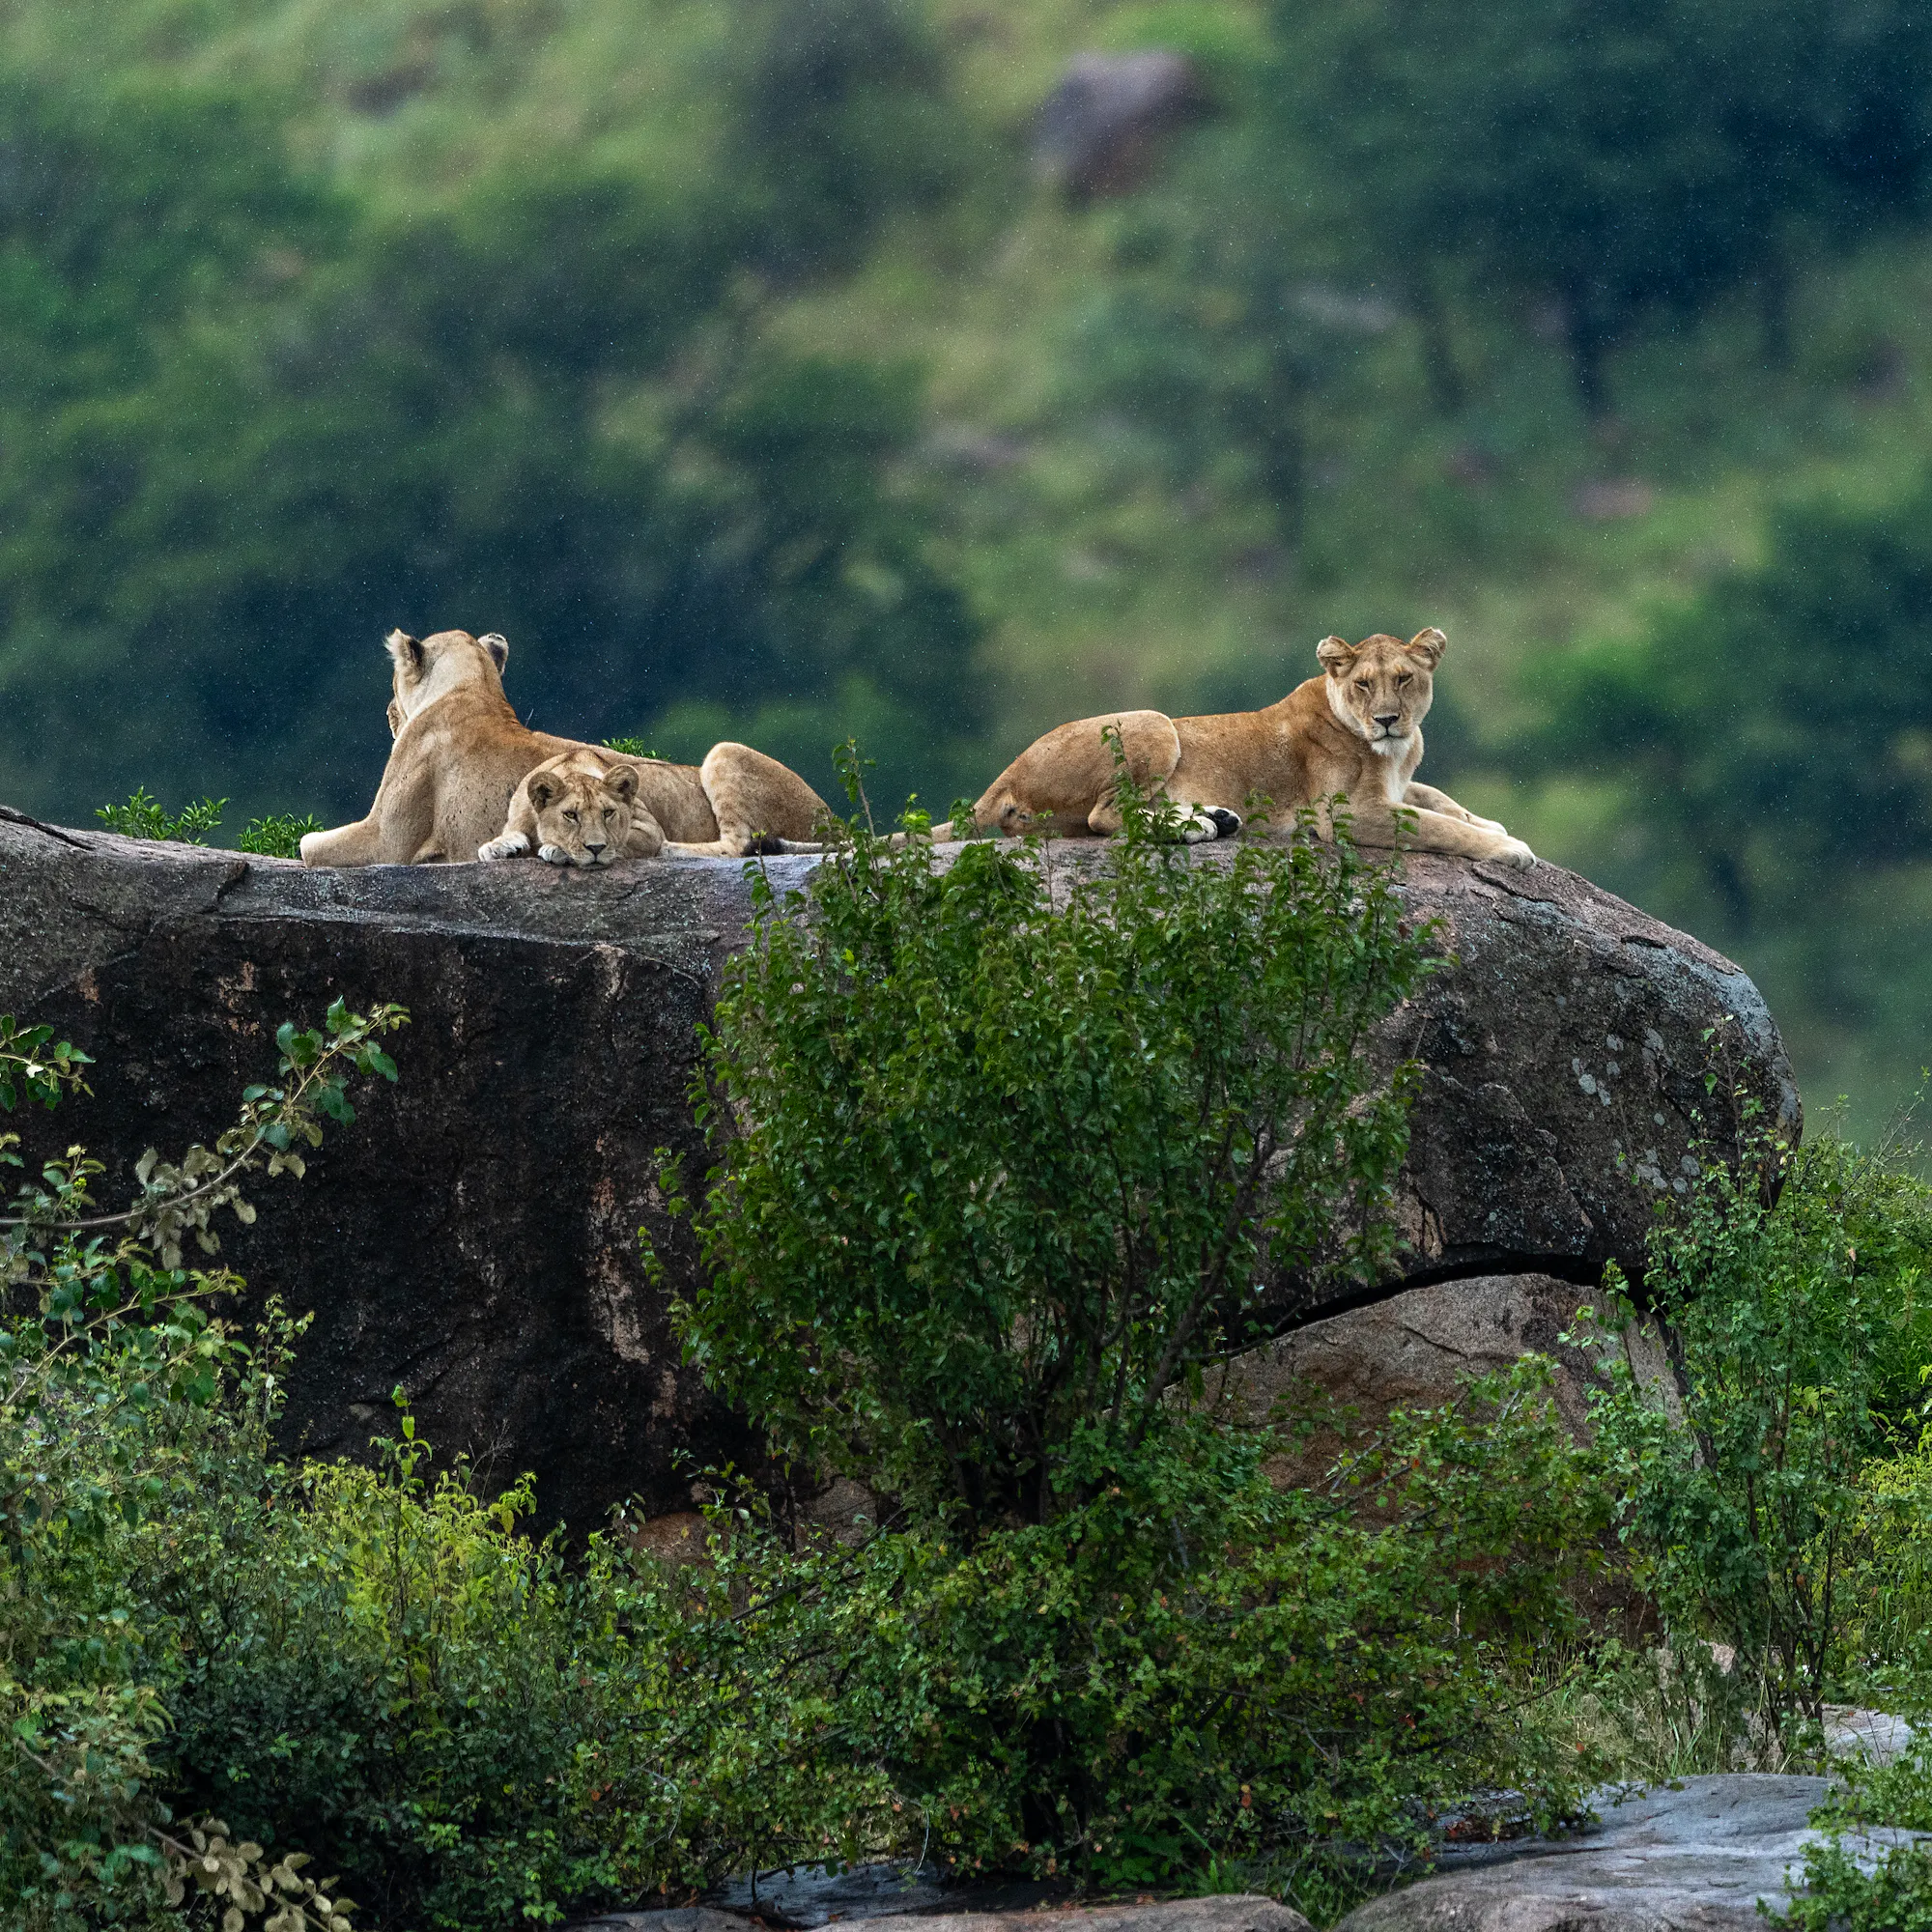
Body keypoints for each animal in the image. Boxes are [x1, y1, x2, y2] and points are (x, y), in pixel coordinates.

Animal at [299, 628, 830, 867]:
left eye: (394, 683)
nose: (389, 713)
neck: (474, 687)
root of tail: (832, 816)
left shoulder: (385, 839)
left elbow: (306, 846)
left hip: (724, 750)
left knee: (740, 842)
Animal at [928, 628, 1535, 869]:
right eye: (1364, 684)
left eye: (1405, 678)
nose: (1387, 719)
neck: (1395, 749)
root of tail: (1003, 777)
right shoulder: (1345, 814)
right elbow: (1437, 826)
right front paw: (1509, 849)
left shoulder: (1398, 784)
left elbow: (1438, 800)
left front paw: (1490, 823)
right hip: (1155, 722)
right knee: (1105, 817)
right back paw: (1197, 826)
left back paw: (1215, 819)